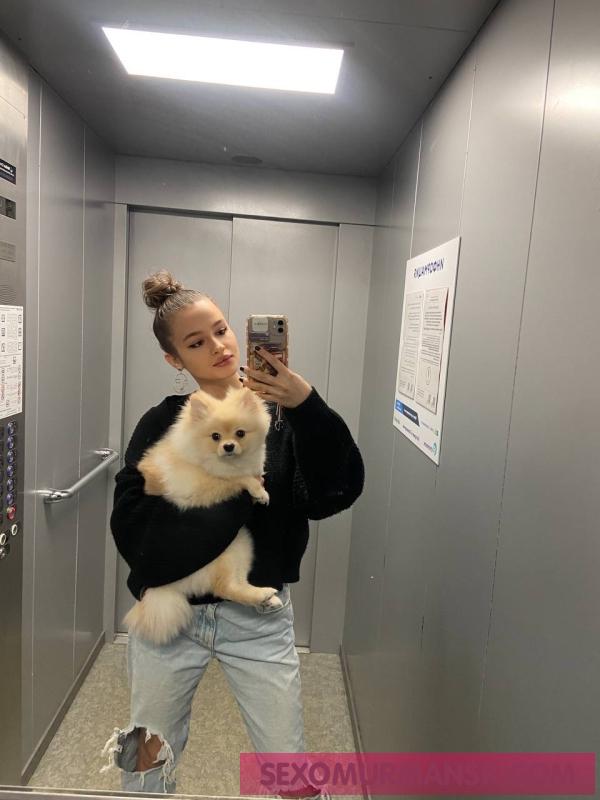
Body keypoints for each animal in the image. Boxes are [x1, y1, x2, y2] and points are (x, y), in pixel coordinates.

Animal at [124, 384, 282, 645]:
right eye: (215, 436)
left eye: (240, 433)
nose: (228, 447)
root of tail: (167, 586)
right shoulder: (201, 487)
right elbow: (237, 479)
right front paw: (258, 490)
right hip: (226, 552)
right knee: (224, 587)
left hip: (242, 544)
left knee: (234, 585)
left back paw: (265, 597)